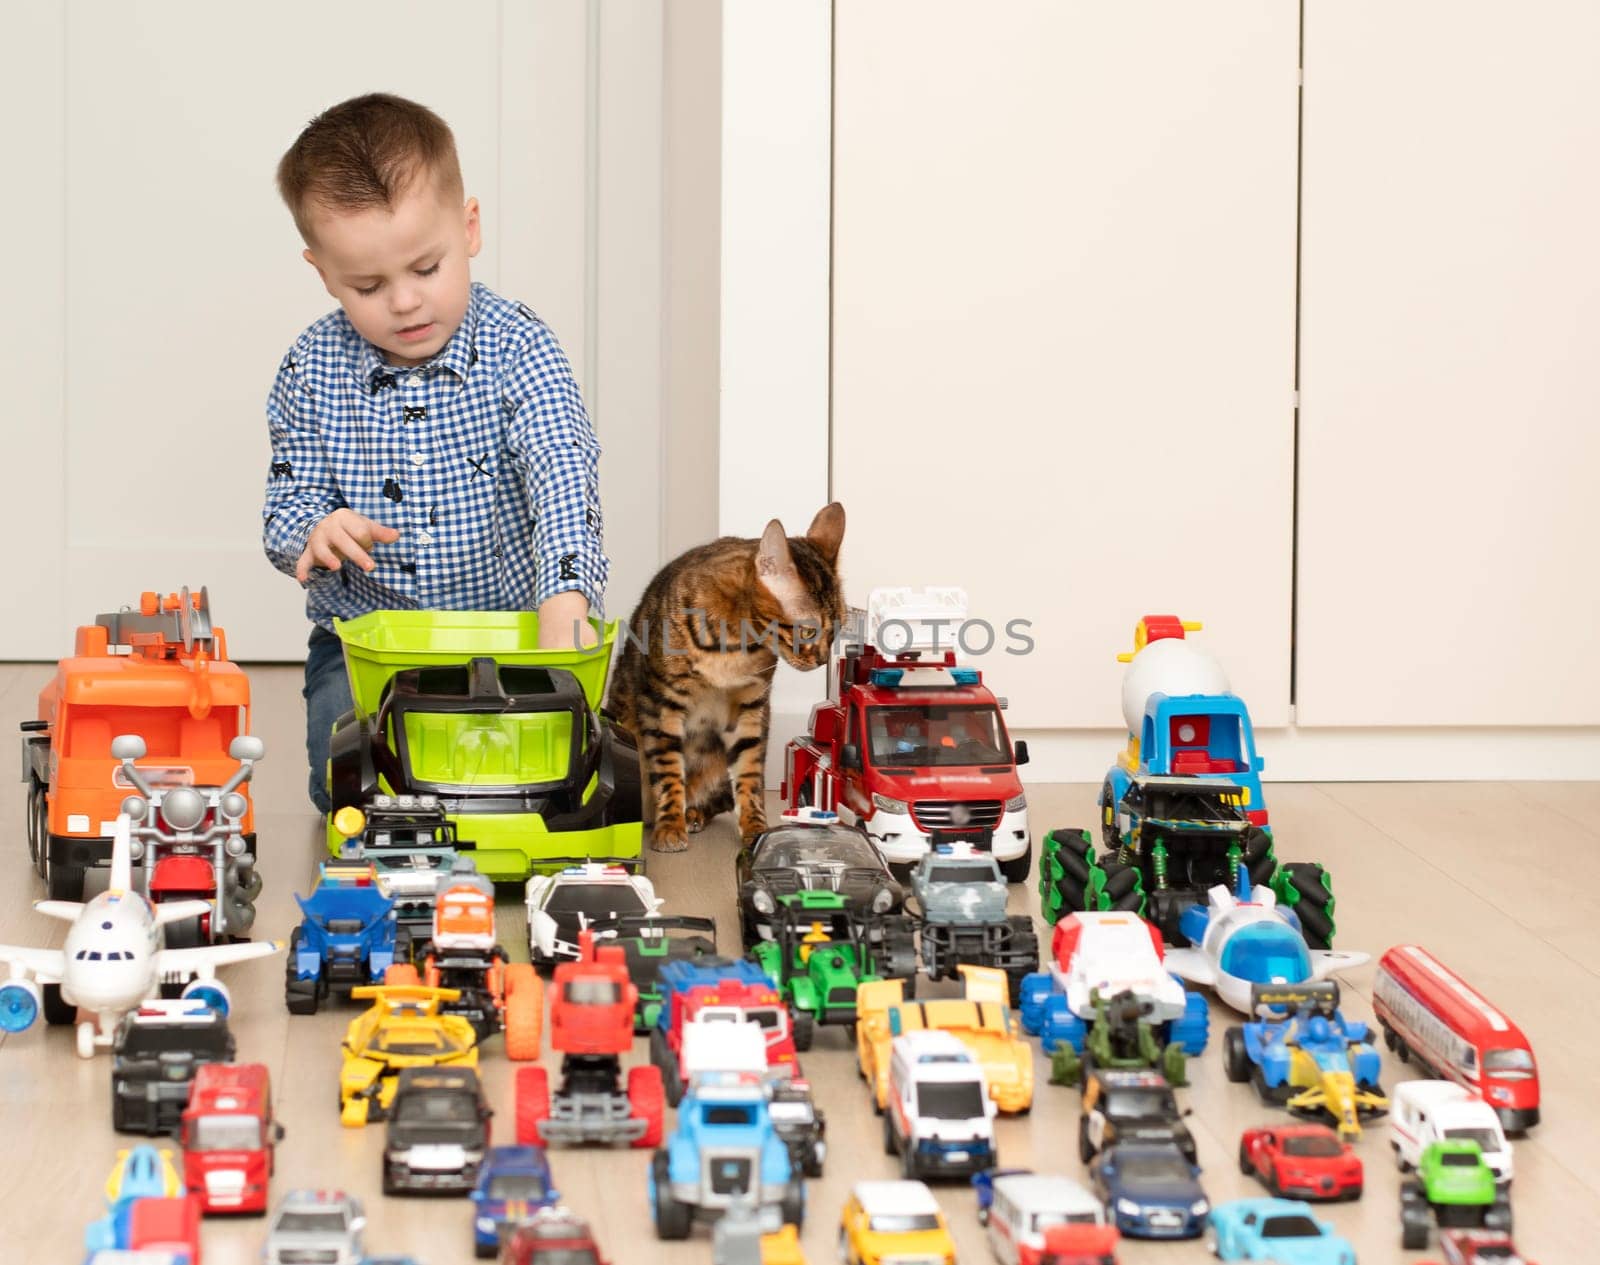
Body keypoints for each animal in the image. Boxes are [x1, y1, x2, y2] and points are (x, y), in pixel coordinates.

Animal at [601, 502, 851, 850]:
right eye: (808, 631)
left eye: (835, 630)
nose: (821, 660)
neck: (737, 649)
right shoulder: (661, 702)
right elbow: (667, 770)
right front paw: (670, 826)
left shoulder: (750, 708)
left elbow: (749, 776)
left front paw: (755, 827)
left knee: (716, 798)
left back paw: (694, 813)